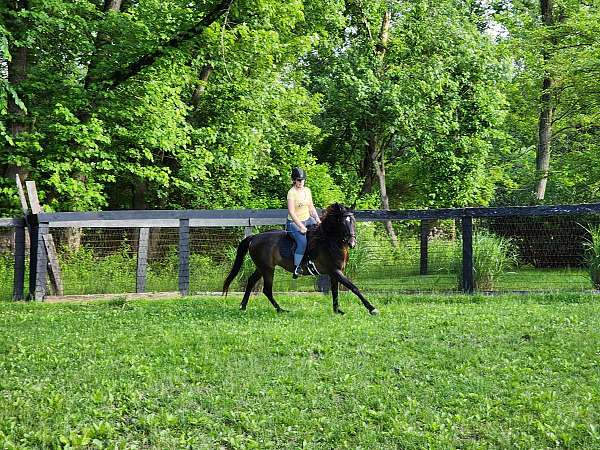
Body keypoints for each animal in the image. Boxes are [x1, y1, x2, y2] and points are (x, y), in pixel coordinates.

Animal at [223, 202, 378, 314]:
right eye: (343, 222)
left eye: (353, 221)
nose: (352, 243)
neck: (329, 241)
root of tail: (254, 237)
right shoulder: (335, 271)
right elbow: (354, 287)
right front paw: (372, 308)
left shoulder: (335, 273)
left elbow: (335, 291)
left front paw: (337, 310)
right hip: (267, 269)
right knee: (266, 289)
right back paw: (280, 309)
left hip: (262, 268)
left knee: (251, 282)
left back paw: (243, 306)